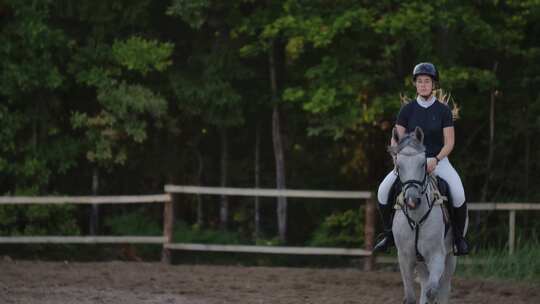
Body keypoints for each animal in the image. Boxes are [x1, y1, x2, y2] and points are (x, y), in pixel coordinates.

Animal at [388, 126, 460, 304]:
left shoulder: (437, 256)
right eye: (398, 165)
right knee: (424, 282)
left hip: (450, 257)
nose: (412, 201)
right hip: (420, 260)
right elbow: (411, 296)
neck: (416, 219)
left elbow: (432, 291)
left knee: (443, 287)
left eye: (423, 164)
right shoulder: (405, 257)